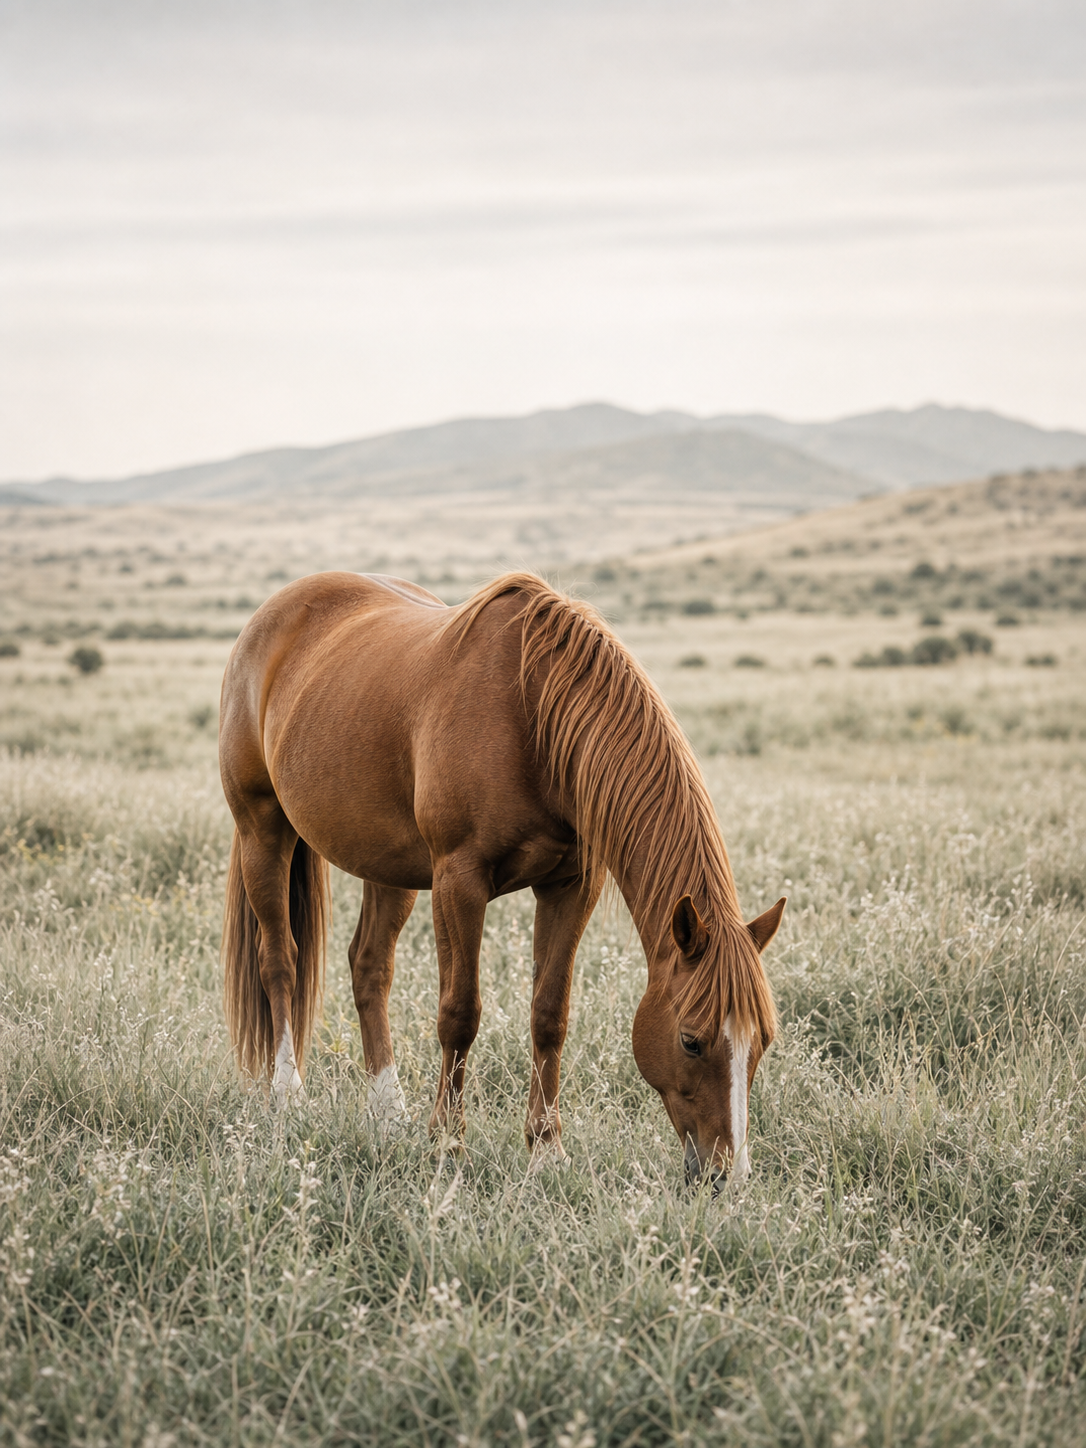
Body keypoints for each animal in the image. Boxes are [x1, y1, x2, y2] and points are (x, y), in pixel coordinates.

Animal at [219, 570, 784, 1186]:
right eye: (691, 1041)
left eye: (762, 1042)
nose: (727, 1174)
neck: (532, 715)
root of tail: (271, 613)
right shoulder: (459, 880)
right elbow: (460, 1013)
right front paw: (447, 1144)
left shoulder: (571, 886)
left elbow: (550, 1015)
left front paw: (546, 1149)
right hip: (263, 832)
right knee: (280, 959)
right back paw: (288, 1093)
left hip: (388, 866)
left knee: (369, 968)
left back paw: (388, 1114)